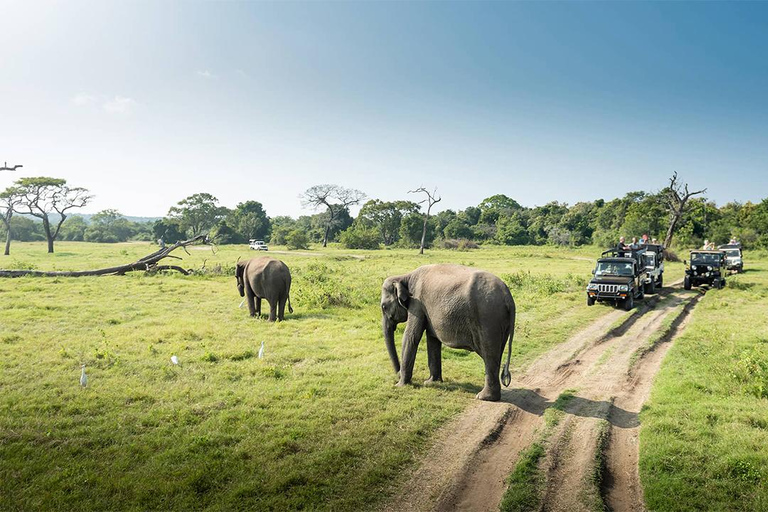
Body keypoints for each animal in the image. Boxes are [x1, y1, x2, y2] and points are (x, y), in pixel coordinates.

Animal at [380, 266, 516, 402]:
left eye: (383, 307)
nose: (397, 374)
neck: (404, 276)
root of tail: (508, 297)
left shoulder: (417, 303)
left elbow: (411, 336)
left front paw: (400, 386)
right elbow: (432, 339)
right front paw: (431, 383)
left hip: (488, 318)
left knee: (489, 354)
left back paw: (484, 397)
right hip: (500, 322)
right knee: (496, 355)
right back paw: (492, 397)